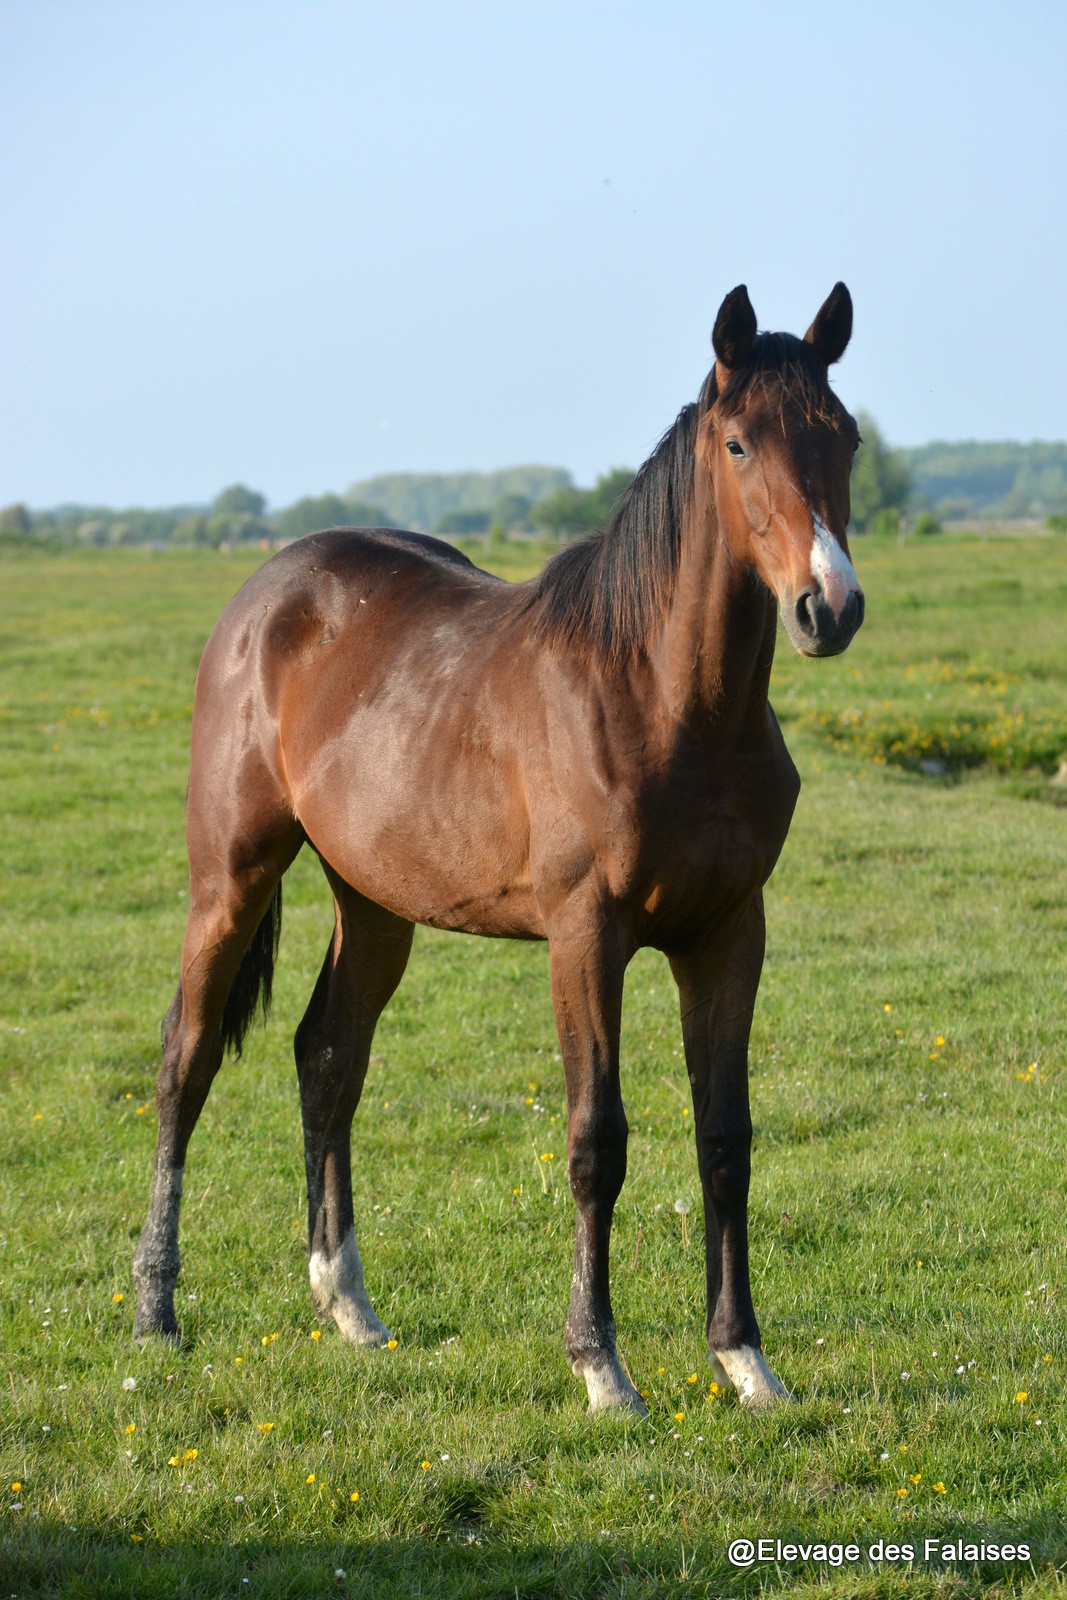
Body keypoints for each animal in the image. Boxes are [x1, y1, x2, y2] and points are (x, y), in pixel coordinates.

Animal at [133, 288, 870, 1414]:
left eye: (844, 437)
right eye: (739, 441)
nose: (827, 606)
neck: (662, 701)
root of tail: (268, 591)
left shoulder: (727, 935)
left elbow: (725, 1139)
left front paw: (745, 1360)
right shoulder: (585, 938)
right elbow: (596, 1141)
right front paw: (601, 1365)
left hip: (373, 901)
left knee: (327, 1057)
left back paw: (348, 1306)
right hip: (231, 876)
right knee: (188, 1060)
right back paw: (157, 1310)